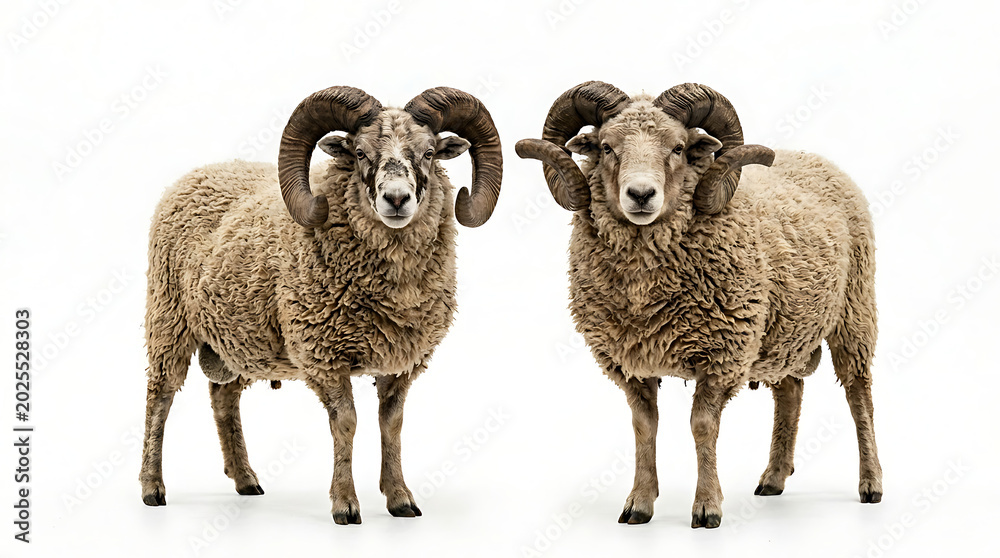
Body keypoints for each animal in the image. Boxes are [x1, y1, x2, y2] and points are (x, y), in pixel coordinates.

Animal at [139, 85, 503, 525]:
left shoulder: (403, 360)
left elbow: (392, 424)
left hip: (239, 337)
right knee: (160, 395)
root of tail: (199, 173)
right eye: (360, 153)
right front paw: (345, 504)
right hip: (168, 318)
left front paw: (400, 498)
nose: (397, 199)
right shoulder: (323, 352)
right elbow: (346, 423)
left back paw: (245, 479)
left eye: (429, 153)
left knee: (223, 398)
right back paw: (152, 487)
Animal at [516, 81, 882, 529]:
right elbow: (644, 427)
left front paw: (707, 507)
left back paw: (871, 483)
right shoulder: (628, 361)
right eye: (606, 147)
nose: (641, 194)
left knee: (858, 395)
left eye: (677, 147)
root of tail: (818, 159)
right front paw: (639, 503)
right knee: (790, 391)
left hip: (854, 310)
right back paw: (774, 478)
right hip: (781, 329)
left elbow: (702, 426)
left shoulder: (724, 352)